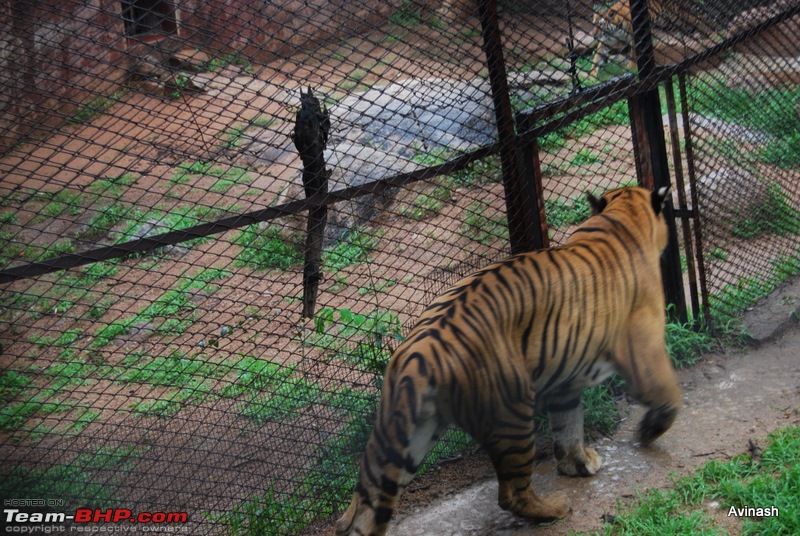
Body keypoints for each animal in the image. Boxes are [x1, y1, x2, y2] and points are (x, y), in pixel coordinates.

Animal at [334, 185, 680, 536]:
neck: (623, 217)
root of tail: (422, 350)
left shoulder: (565, 383)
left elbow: (569, 425)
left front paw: (578, 463)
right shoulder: (645, 343)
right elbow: (667, 390)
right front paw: (649, 431)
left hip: (406, 438)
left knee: (364, 507)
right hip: (511, 416)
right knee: (511, 494)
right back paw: (554, 508)